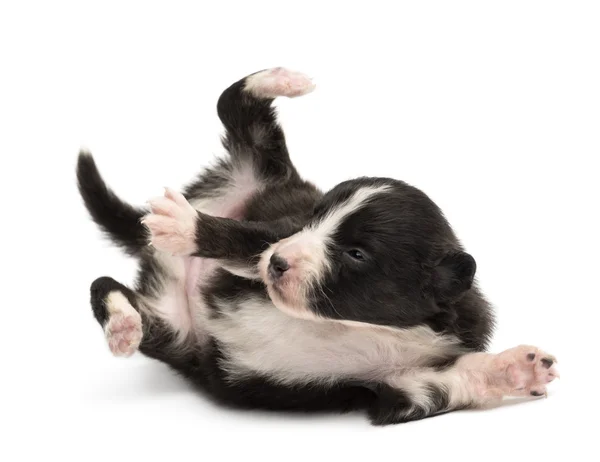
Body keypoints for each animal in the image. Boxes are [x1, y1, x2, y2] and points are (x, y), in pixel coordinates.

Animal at [77, 67, 560, 424]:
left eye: (356, 254)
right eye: (315, 219)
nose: (279, 264)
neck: (350, 323)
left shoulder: (401, 386)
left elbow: (456, 380)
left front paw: (517, 369)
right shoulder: (279, 232)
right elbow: (245, 241)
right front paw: (187, 228)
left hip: (176, 333)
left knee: (111, 291)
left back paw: (124, 324)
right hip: (260, 173)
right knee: (234, 107)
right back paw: (277, 80)